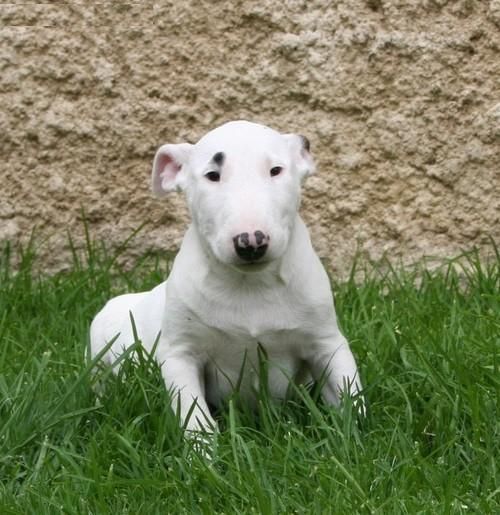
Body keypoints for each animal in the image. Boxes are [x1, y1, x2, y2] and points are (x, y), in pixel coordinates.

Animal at [90, 120, 362, 432]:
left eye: (276, 170)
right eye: (212, 175)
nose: (251, 242)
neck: (250, 284)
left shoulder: (326, 341)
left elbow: (348, 391)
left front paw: (353, 433)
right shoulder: (180, 353)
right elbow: (191, 411)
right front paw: (203, 445)